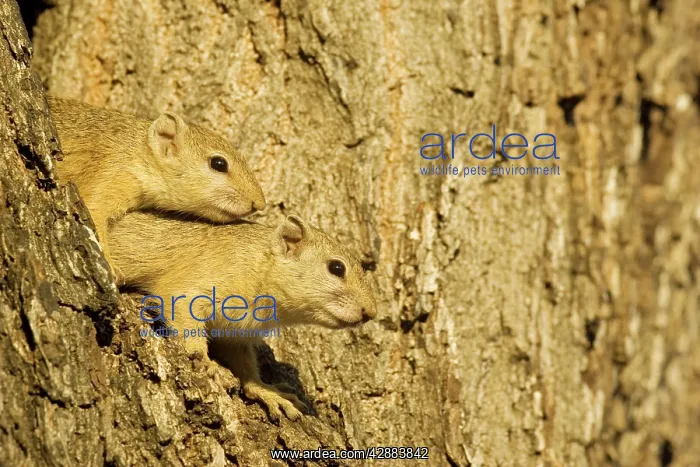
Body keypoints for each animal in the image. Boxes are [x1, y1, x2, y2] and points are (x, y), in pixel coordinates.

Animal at [47, 96, 266, 276]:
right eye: (219, 163)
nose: (259, 204)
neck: (137, 150)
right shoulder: (108, 175)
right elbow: (93, 216)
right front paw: (111, 267)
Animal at [107, 212, 377, 421]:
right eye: (336, 268)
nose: (370, 312)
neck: (262, 268)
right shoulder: (197, 287)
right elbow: (183, 318)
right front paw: (204, 361)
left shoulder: (235, 333)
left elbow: (243, 362)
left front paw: (266, 391)